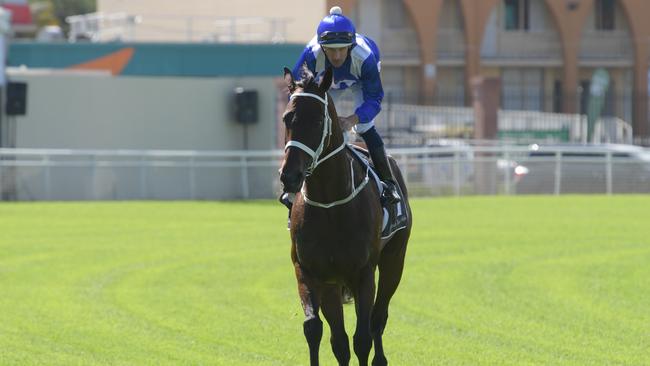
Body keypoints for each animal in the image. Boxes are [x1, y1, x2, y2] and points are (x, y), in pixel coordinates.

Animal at [278, 66, 410, 366]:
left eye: (317, 120)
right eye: (287, 117)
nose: (289, 176)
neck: (330, 203)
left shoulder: (363, 273)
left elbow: (362, 338)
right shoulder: (308, 271)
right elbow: (315, 330)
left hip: (393, 261)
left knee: (377, 318)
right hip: (332, 283)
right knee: (340, 340)